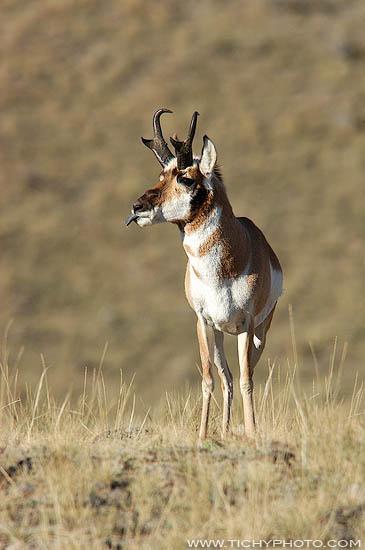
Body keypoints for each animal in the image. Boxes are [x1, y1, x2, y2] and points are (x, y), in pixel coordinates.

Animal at [126, 110, 282, 442]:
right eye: (161, 175)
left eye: (185, 178)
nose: (137, 206)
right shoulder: (202, 321)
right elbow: (209, 378)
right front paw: (202, 435)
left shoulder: (248, 323)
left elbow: (248, 379)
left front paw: (252, 433)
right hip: (221, 333)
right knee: (226, 377)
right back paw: (223, 430)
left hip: (258, 334)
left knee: (245, 373)